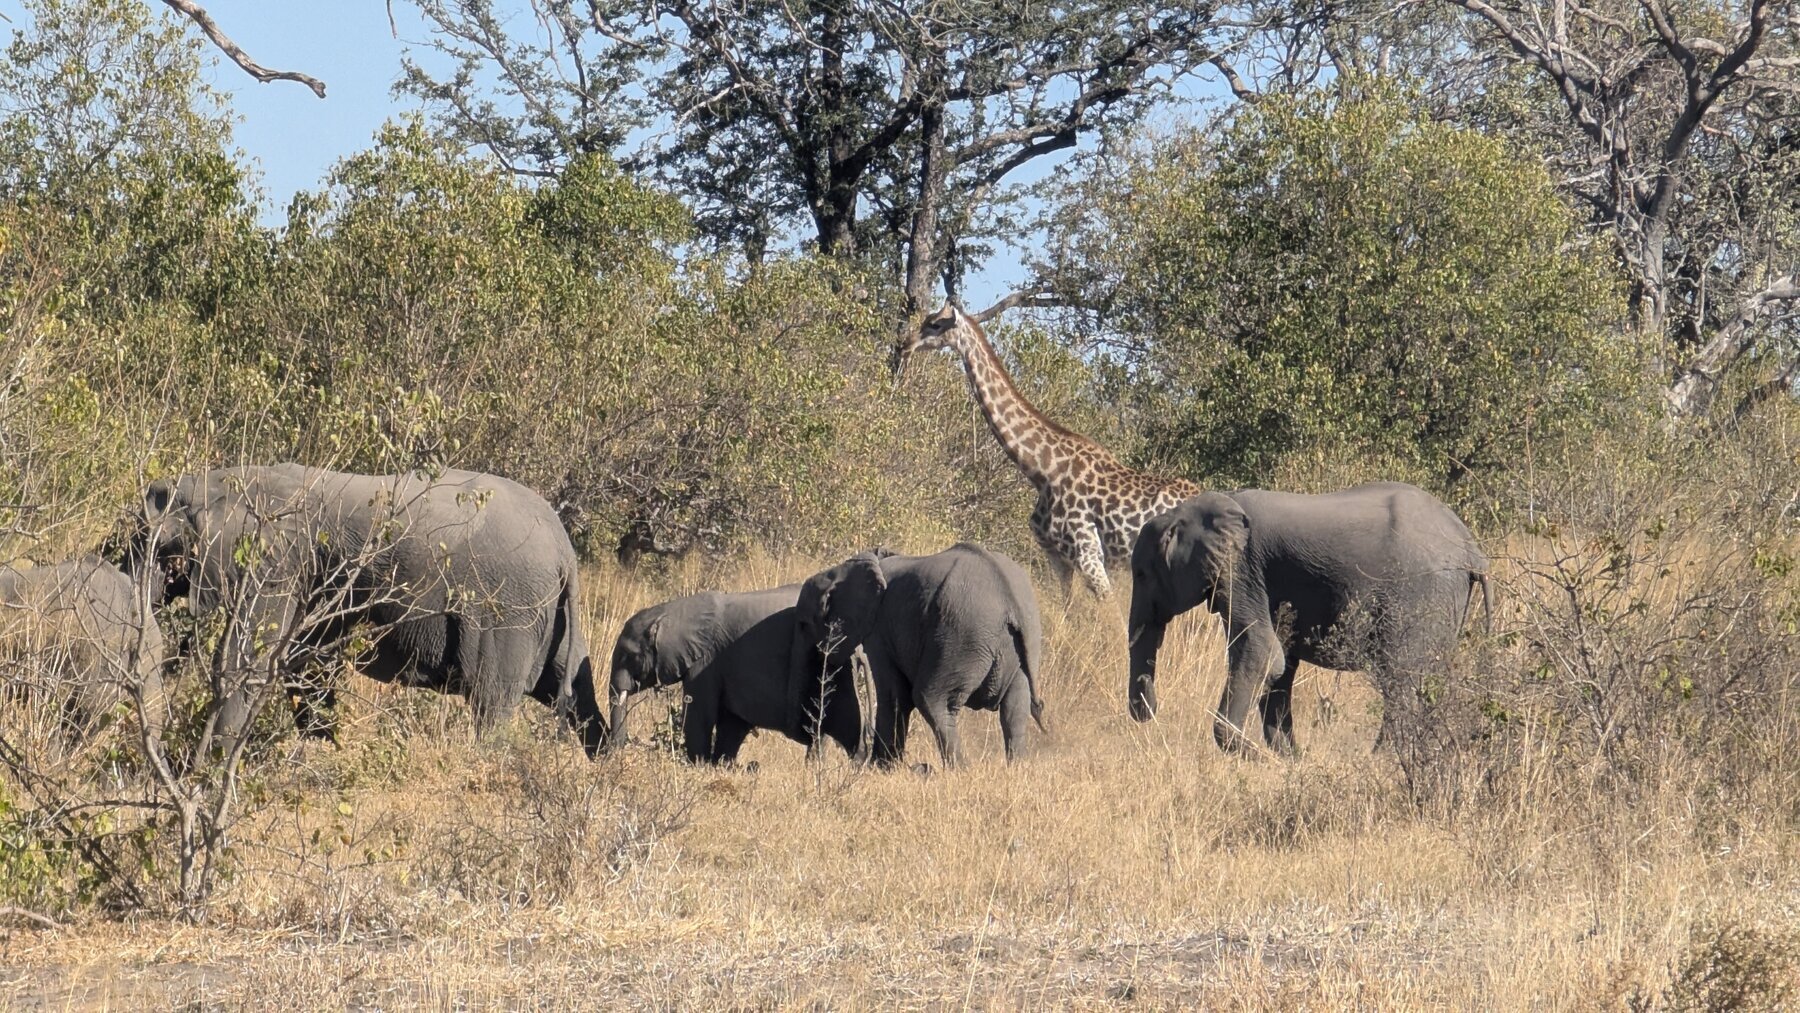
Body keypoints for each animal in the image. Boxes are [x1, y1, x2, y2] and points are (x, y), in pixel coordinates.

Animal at [120, 464, 603, 755]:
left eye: (153, 546)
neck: (223, 480)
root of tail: (563, 548)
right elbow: (306, 665)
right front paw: (323, 753)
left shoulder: (277, 566)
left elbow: (249, 661)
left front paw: (206, 766)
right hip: (547, 615)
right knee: (573, 687)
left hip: (509, 610)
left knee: (492, 703)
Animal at [607, 585, 871, 763]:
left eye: (627, 656)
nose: (617, 753)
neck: (671, 610)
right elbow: (732, 722)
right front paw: (720, 766)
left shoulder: (705, 663)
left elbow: (700, 716)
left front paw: (697, 766)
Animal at [793, 544, 1047, 769]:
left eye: (803, 624)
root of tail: (1008, 597)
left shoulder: (879, 630)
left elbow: (894, 695)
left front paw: (879, 769)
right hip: (1018, 645)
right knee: (1015, 709)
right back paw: (1016, 768)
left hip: (961, 634)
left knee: (932, 699)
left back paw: (961, 769)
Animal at [1126, 482, 1491, 755]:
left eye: (1141, 575)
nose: (1148, 714)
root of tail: (1471, 548)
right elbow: (1280, 663)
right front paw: (1288, 759)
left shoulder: (1241, 569)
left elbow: (1262, 652)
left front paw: (1256, 756)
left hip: (1419, 592)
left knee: (1401, 679)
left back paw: (1380, 759)